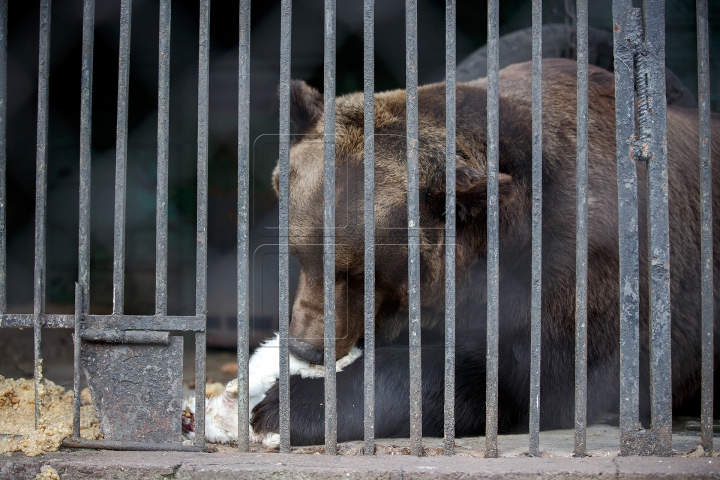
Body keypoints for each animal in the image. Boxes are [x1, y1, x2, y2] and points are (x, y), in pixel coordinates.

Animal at [249, 58, 720, 444]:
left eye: (362, 273)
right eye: (299, 255)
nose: (306, 348)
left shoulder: (579, 256)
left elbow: (523, 374)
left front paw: (285, 404)